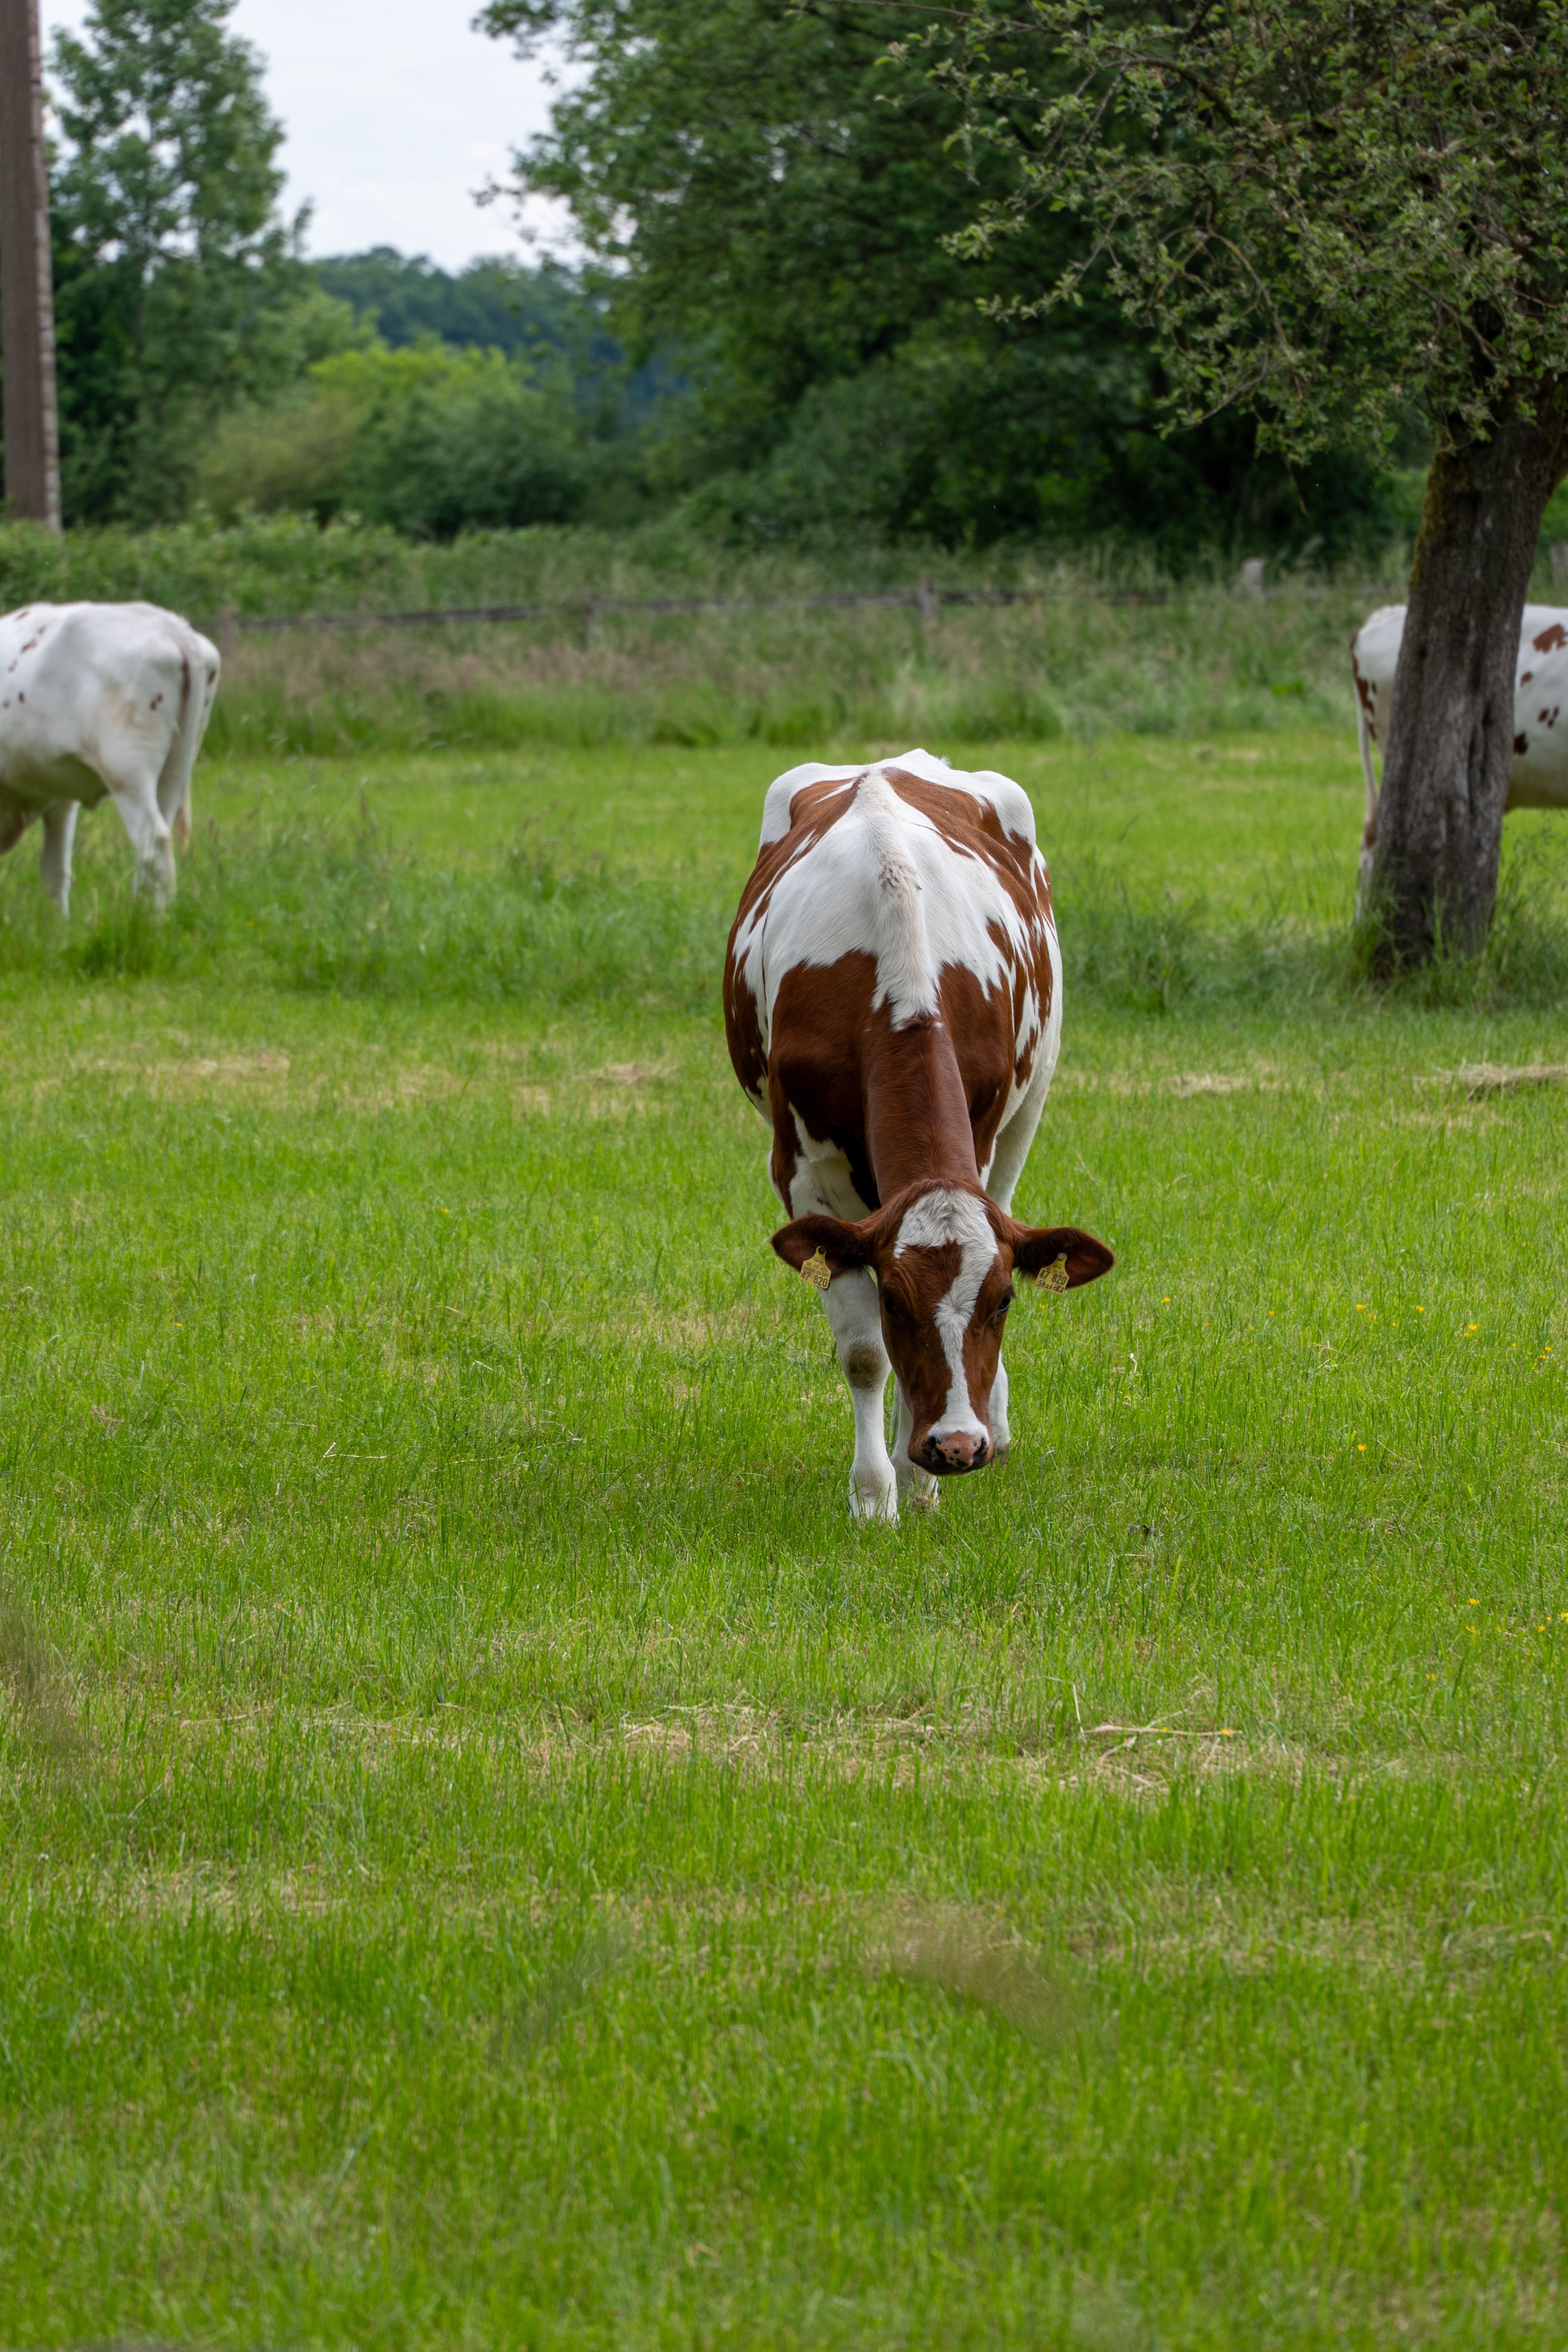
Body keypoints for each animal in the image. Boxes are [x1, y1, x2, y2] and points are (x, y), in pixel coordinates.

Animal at [0, 600, 221, 915]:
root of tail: (173, 627)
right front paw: (60, 926)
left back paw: (156, 920)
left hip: (128, 771)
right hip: (177, 767)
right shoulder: (59, 796)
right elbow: (55, 870)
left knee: (152, 840)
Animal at [724, 747, 1114, 1521]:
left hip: (1032, 1103)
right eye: (896, 1302)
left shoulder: (985, 1136)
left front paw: (920, 1478)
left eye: (1005, 1299)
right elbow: (866, 1354)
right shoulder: (802, 1172)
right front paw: (877, 1494)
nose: (957, 1446)